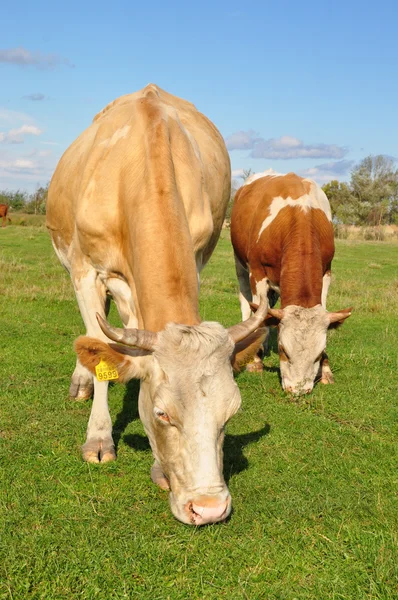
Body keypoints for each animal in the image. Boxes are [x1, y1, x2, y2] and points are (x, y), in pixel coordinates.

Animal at [45, 84, 268, 524]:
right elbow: (101, 353)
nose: (209, 508)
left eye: (231, 411)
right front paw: (99, 438)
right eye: (163, 413)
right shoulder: (84, 271)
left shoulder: (195, 257)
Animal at [230, 170, 352, 394]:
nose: (298, 390)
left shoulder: (326, 272)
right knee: (246, 304)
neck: (300, 217)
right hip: (240, 264)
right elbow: (258, 312)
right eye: (283, 350)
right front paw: (256, 361)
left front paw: (326, 371)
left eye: (318, 353)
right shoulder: (257, 272)